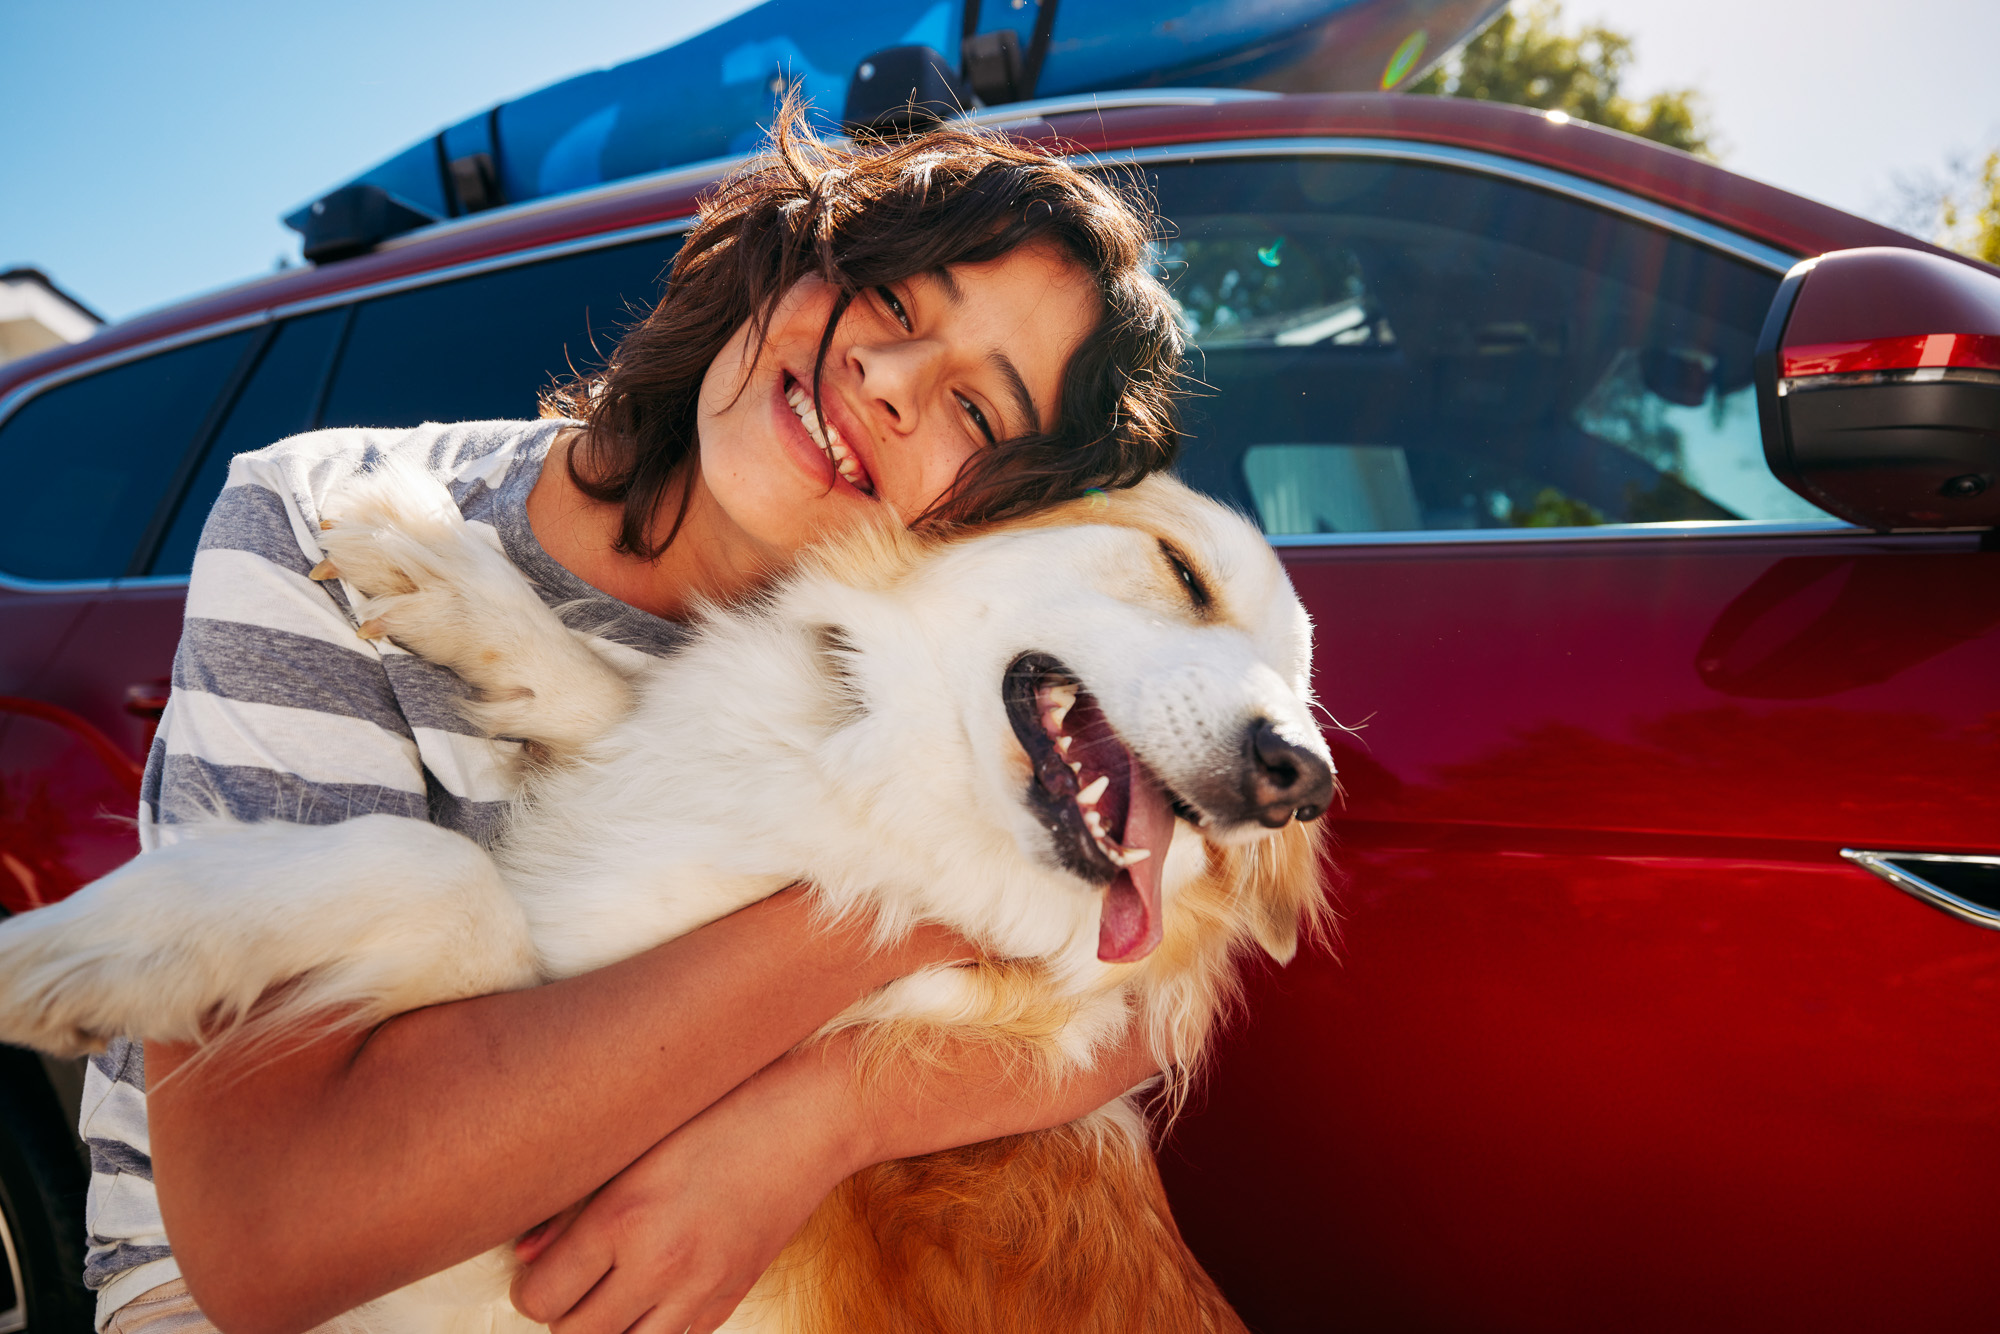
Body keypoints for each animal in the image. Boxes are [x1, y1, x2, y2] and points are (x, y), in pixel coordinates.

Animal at [0, 462, 1336, 1334]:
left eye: (1302, 695)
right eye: (1180, 570)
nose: (1300, 777)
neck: (868, 784)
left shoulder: (507, 1264)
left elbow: (441, 874)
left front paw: (90, 946)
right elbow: (607, 711)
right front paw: (468, 591)